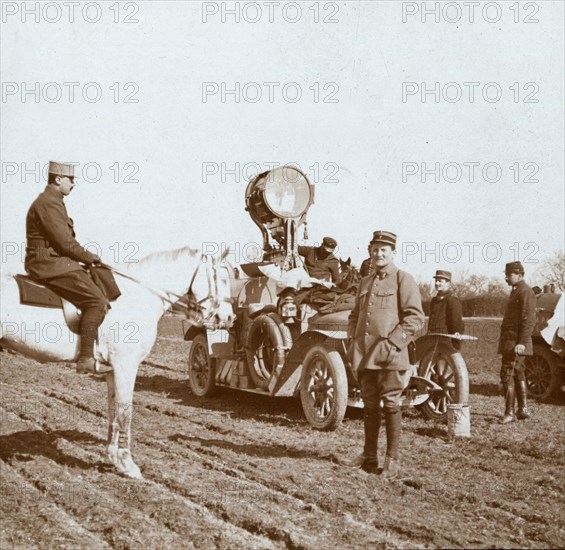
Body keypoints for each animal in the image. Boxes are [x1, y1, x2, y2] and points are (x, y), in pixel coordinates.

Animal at [0, 248, 234, 480]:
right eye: (222, 279)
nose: (230, 318)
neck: (139, 294)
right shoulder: (126, 365)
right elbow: (125, 413)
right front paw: (128, 464)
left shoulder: (113, 369)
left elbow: (113, 411)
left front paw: (113, 457)